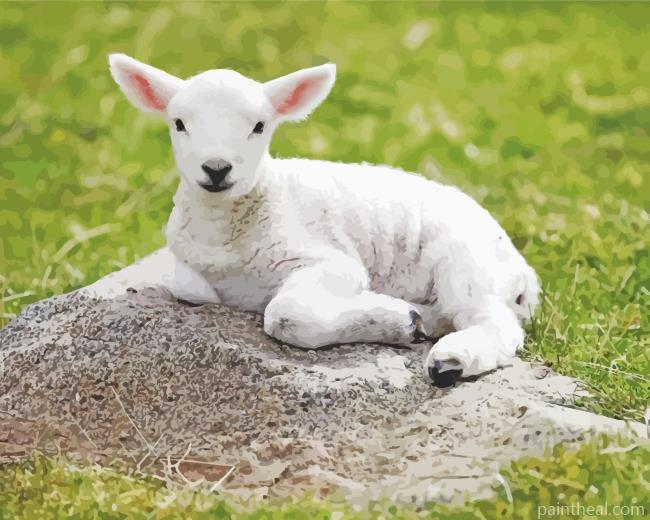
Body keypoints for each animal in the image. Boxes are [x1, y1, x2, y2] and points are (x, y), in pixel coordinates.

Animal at [105, 53, 540, 387]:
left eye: (259, 126)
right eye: (179, 123)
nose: (216, 168)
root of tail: (522, 270)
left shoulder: (329, 261)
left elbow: (285, 315)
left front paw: (390, 320)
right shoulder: (188, 274)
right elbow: (191, 288)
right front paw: (398, 318)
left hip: (468, 263)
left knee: (496, 323)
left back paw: (451, 361)